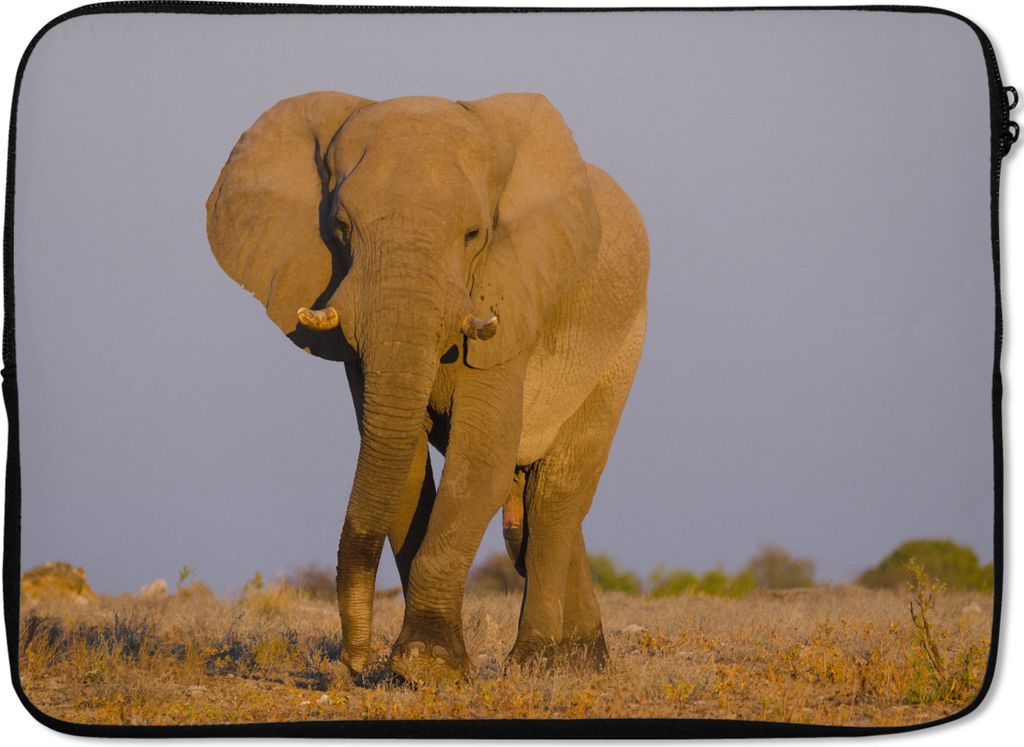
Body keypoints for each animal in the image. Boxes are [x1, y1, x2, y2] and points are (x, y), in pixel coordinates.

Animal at [206, 91, 649, 680]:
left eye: (473, 235)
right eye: (340, 227)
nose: (354, 663)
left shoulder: (512, 303)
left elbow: (478, 463)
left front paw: (427, 666)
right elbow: (408, 467)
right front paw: (417, 670)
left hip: (621, 350)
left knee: (556, 496)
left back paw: (537, 664)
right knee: (531, 501)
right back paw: (582, 663)